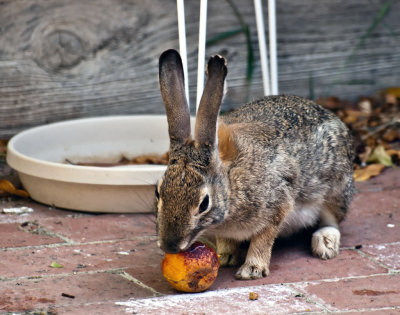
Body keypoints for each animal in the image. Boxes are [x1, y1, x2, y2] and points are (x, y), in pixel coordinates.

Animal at [154, 49, 354, 282]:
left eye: (204, 203)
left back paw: (325, 244)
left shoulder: (278, 205)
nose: (170, 246)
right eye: (158, 193)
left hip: (335, 189)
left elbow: (263, 239)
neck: (231, 185)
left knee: (332, 220)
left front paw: (252, 270)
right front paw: (225, 257)